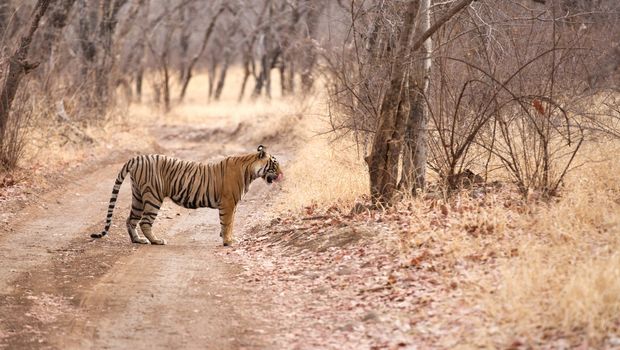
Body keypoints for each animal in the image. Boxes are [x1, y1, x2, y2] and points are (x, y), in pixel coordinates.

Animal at [90, 145, 284, 246]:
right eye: (275, 164)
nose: (282, 174)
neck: (250, 170)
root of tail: (136, 158)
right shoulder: (228, 203)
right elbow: (228, 223)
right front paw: (228, 241)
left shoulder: (232, 205)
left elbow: (230, 223)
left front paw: (227, 238)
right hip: (153, 196)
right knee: (145, 222)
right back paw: (156, 241)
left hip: (137, 195)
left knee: (130, 220)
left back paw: (138, 240)